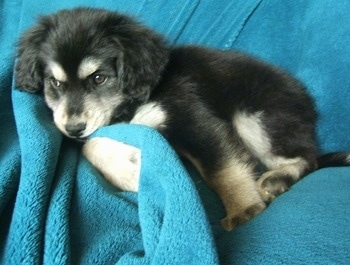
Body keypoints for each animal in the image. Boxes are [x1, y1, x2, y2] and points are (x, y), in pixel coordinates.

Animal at [16, 6, 350, 229]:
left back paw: (277, 178)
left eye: (98, 78)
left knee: (306, 158)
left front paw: (243, 209)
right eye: (55, 83)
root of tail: (303, 99)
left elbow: (222, 169)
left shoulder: (192, 118)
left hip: (254, 115)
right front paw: (131, 172)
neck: (131, 103)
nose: (73, 128)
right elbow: (93, 145)